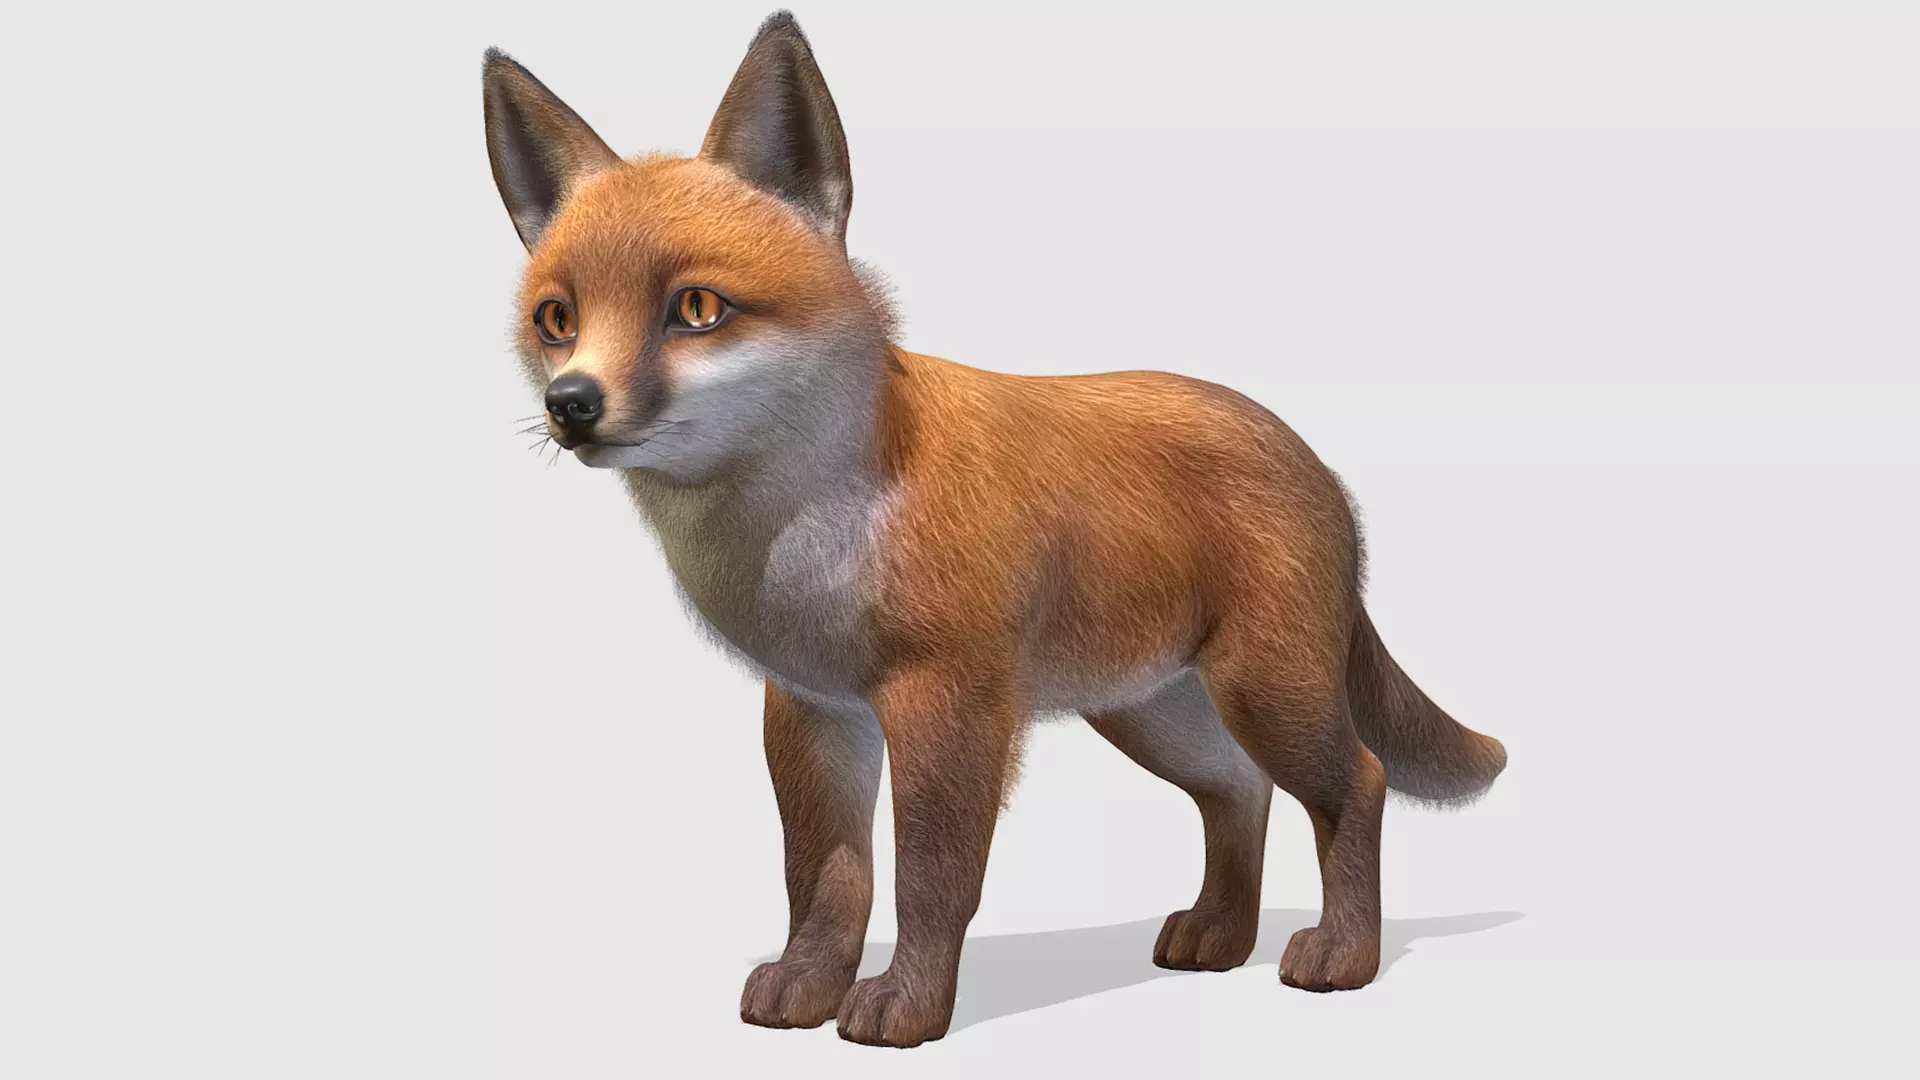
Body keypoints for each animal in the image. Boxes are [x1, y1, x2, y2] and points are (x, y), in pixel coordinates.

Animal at [482, 10, 1506, 1048]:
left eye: (696, 308)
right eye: (557, 319)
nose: (573, 405)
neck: (799, 540)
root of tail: (1307, 455)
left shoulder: (951, 703)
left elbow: (932, 881)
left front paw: (906, 1006)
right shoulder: (812, 707)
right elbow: (825, 878)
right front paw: (809, 985)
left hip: (1265, 692)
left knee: (1359, 782)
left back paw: (1344, 955)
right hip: (1152, 712)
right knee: (1238, 790)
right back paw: (1220, 932)